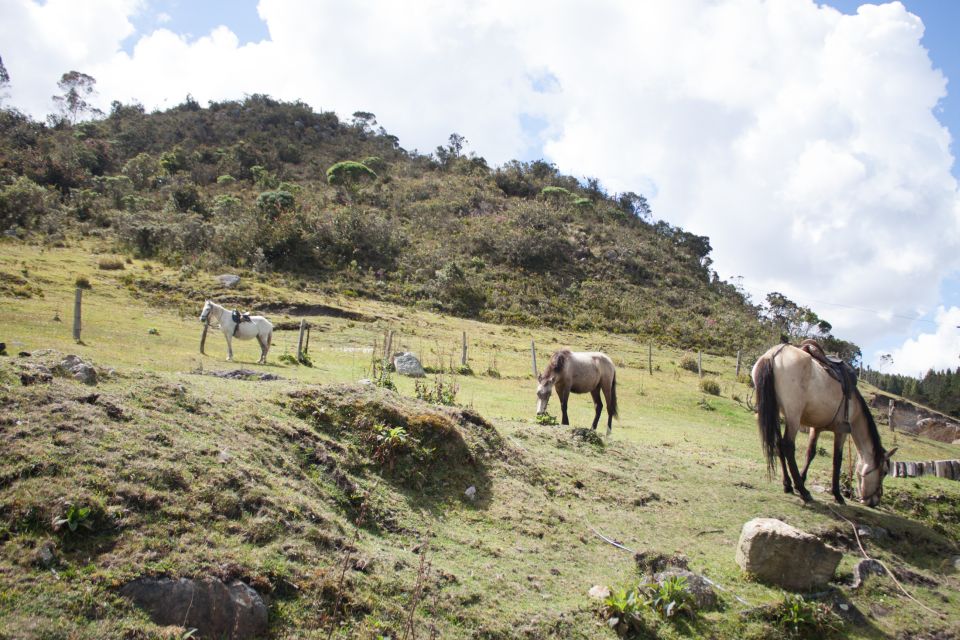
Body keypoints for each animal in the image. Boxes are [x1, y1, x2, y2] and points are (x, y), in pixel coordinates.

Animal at [752, 342, 896, 508]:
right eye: (884, 472)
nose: (875, 501)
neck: (854, 407)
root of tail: (774, 354)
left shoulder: (816, 428)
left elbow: (810, 453)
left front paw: (802, 478)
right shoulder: (841, 431)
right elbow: (837, 461)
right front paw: (837, 494)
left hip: (775, 411)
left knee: (777, 444)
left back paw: (788, 484)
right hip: (793, 416)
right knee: (787, 445)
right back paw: (803, 491)